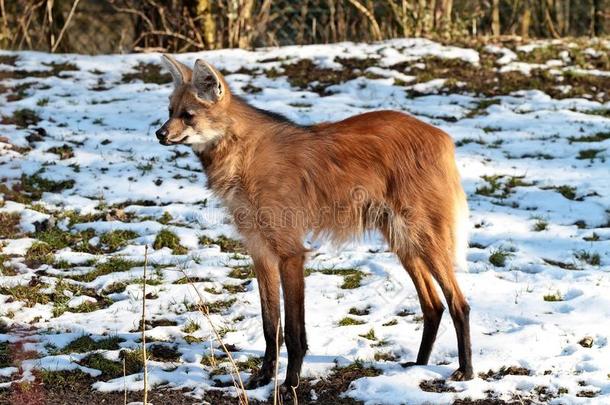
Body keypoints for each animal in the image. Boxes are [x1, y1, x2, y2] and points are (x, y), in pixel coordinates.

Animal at [156, 54, 470, 398]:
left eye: (188, 115)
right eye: (169, 111)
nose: (159, 134)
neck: (242, 157)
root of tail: (442, 136)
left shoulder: (290, 252)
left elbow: (294, 332)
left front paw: (289, 385)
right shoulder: (260, 251)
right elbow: (270, 325)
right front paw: (263, 378)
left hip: (422, 236)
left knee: (458, 303)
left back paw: (465, 371)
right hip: (402, 240)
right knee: (433, 305)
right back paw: (417, 366)